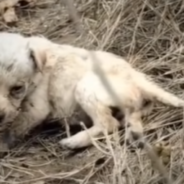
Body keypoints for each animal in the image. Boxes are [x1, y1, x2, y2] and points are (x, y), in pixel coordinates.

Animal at [0, 32, 184, 150]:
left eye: (17, 88)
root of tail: (137, 77)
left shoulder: (36, 107)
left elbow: (15, 128)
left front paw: (3, 144)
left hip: (86, 88)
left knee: (109, 124)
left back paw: (74, 141)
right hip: (131, 104)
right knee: (131, 117)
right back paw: (133, 134)